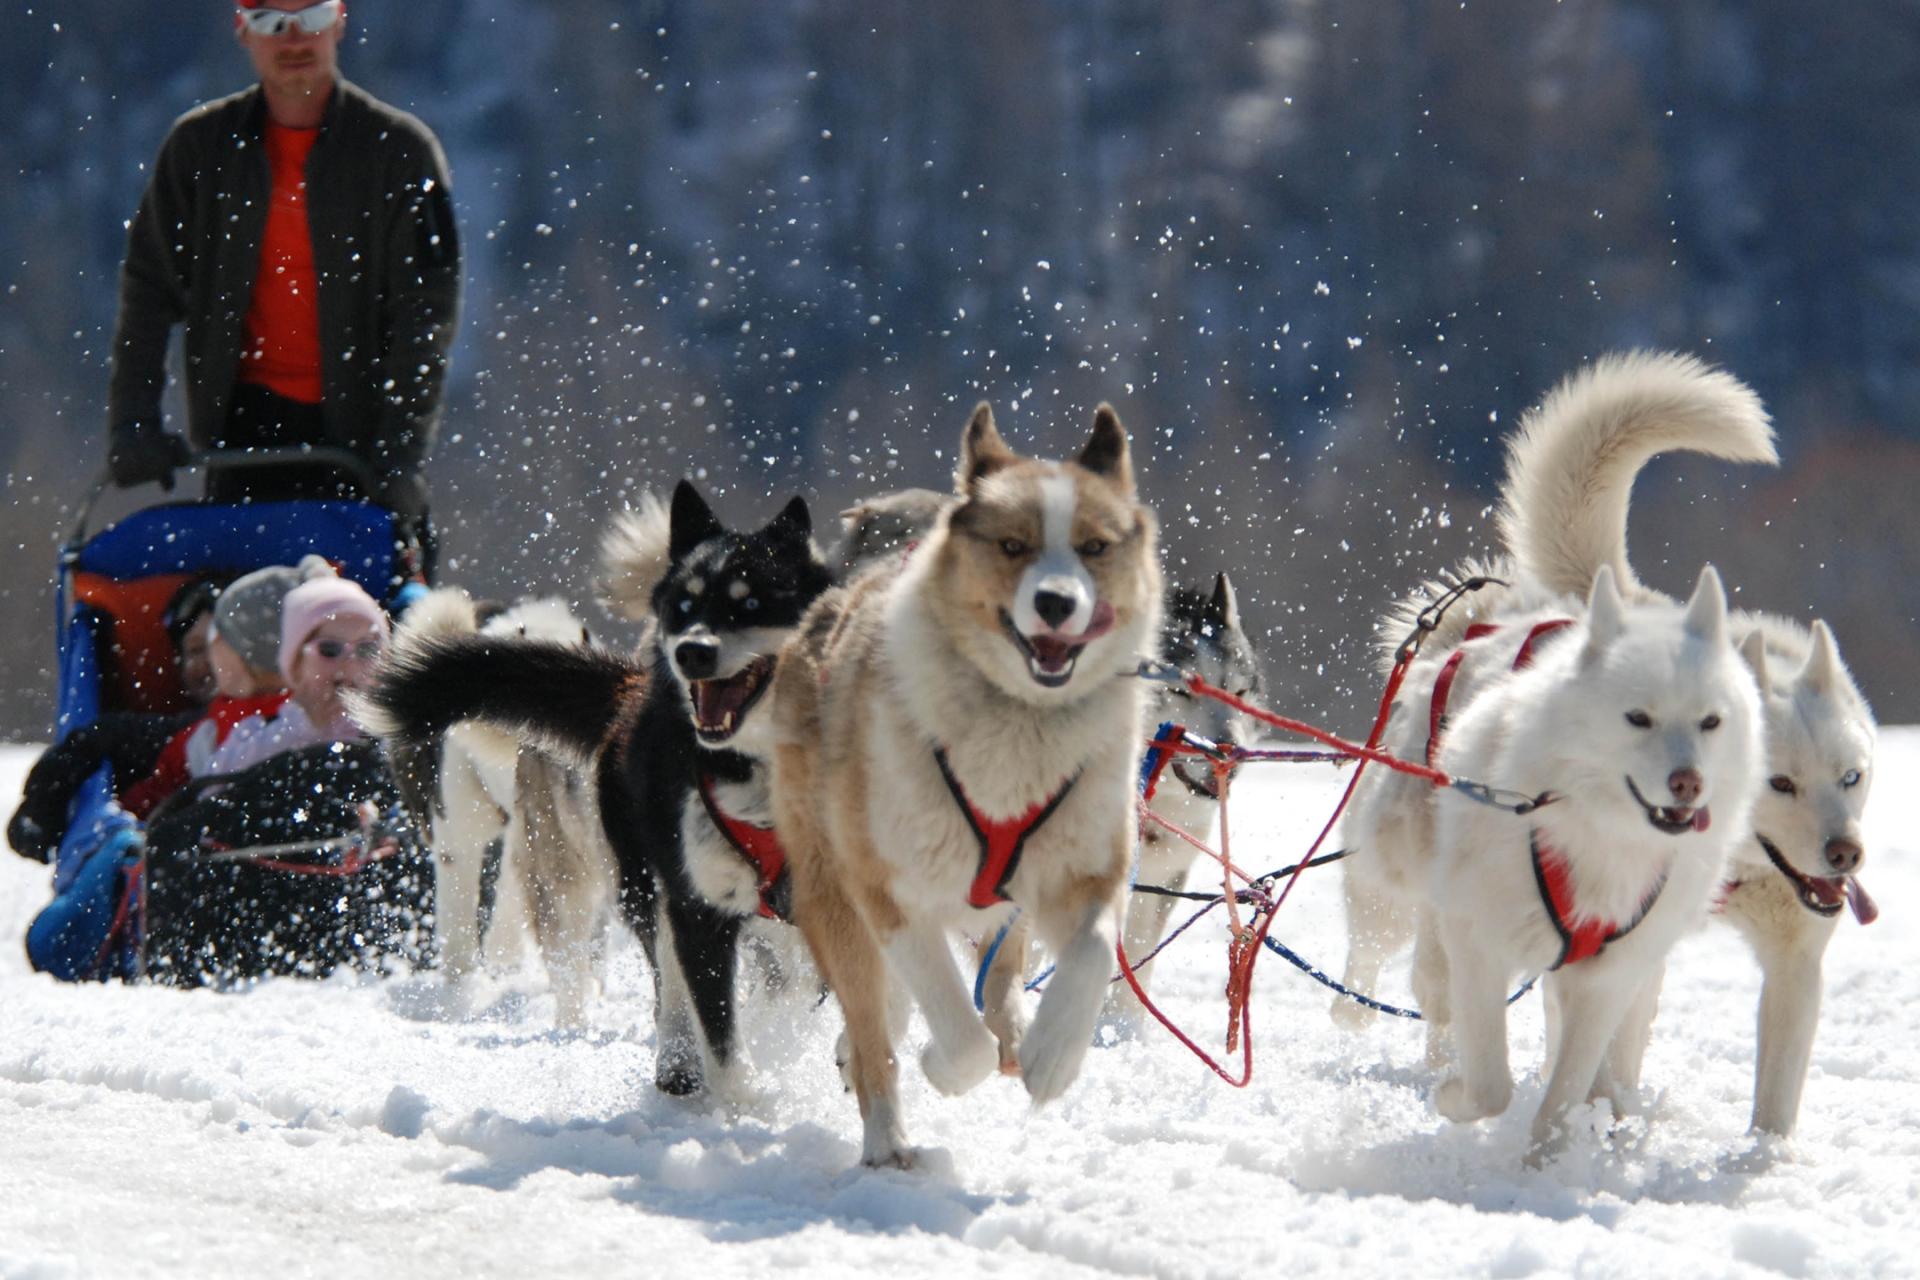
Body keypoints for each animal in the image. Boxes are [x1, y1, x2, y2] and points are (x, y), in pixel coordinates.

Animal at [771, 404, 1159, 1166]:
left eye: (1094, 548)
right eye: (1013, 544)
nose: (1056, 602)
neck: (1018, 724)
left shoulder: (1084, 868)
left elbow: (1095, 949)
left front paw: (1053, 1053)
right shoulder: (890, 893)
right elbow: (952, 1033)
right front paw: (942, 1067)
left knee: (996, 977)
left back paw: (1016, 1028)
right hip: (831, 886)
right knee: (877, 1031)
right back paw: (888, 1138)